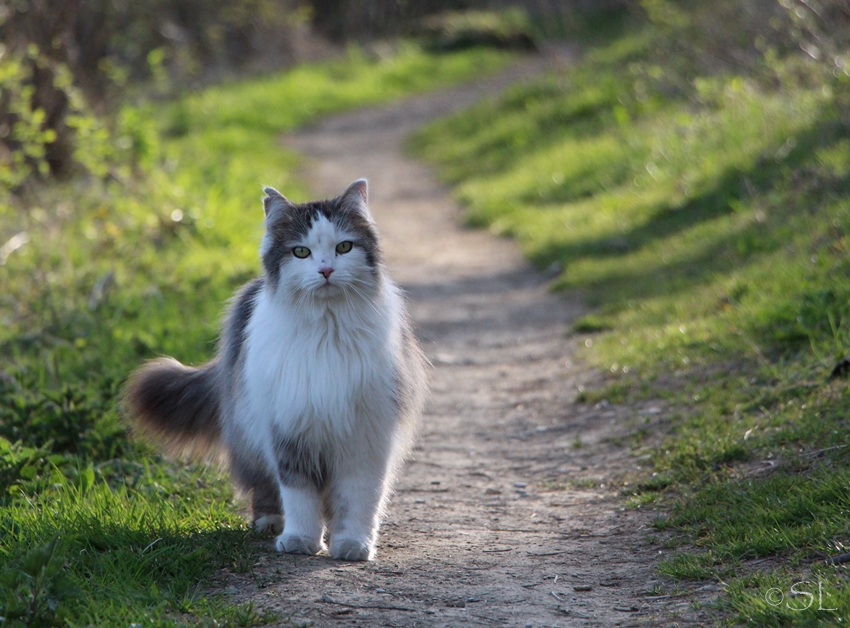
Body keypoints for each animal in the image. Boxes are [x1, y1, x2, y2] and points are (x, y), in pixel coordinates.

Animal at [122, 179, 428, 560]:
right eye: (301, 253)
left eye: (343, 247)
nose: (326, 270)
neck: (327, 331)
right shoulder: (289, 430)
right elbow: (299, 496)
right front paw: (300, 540)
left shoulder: (365, 437)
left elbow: (358, 500)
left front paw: (352, 545)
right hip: (250, 434)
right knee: (263, 486)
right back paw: (270, 523)